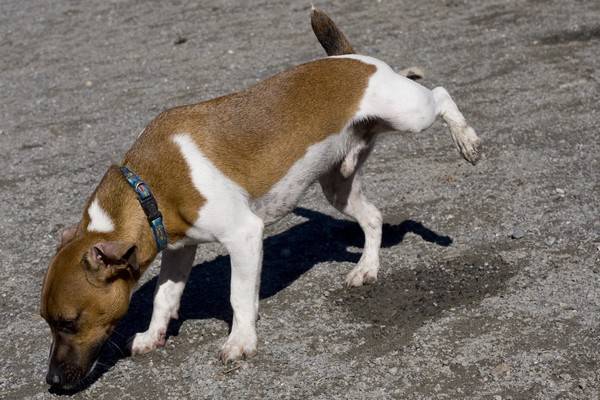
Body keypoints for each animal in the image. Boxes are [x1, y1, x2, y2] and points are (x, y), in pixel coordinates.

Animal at [38, 8, 478, 390]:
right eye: (48, 322)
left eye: (69, 322)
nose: (52, 381)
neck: (146, 187)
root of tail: (348, 57)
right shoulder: (178, 250)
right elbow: (164, 297)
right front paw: (152, 335)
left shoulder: (245, 236)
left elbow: (238, 297)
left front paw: (240, 341)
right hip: (338, 187)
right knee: (372, 218)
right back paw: (366, 269)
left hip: (409, 115)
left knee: (440, 95)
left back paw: (466, 141)